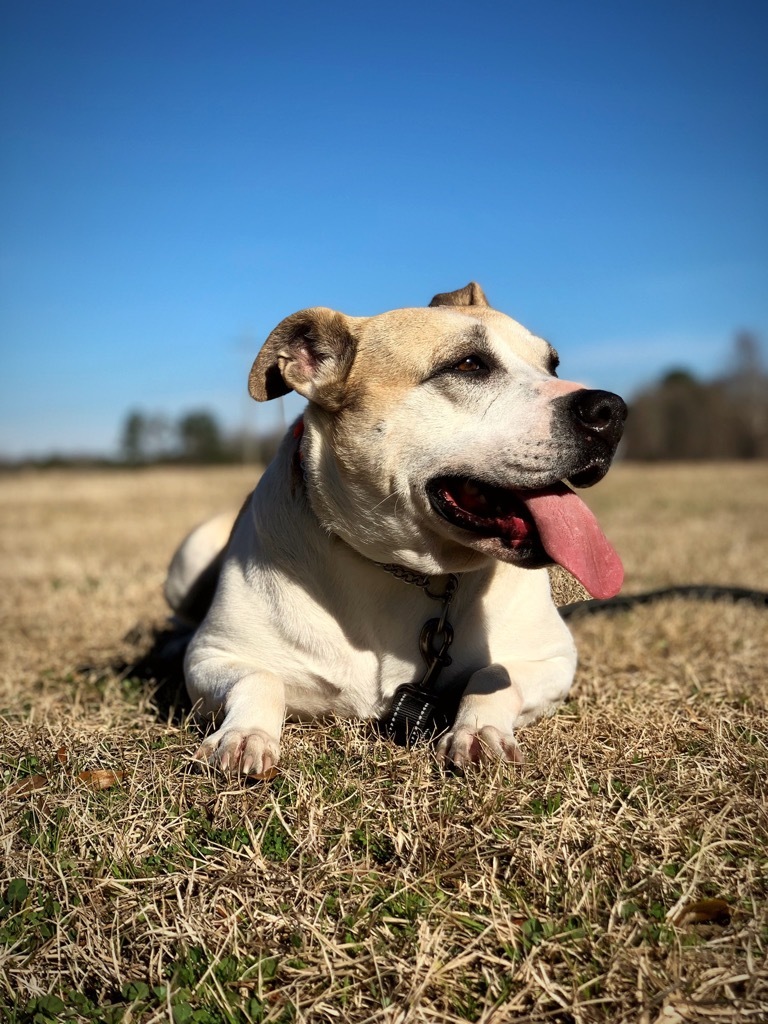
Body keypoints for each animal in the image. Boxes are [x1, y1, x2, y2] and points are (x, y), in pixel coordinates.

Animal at [165, 284, 626, 770]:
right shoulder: (214, 654)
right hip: (192, 550)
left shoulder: (553, 658)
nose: (612, 409)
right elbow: (258, 678)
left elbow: (491, 676)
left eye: (552, 364)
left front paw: (478, 731)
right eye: (468, 365)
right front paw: (246, 735)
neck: (409, 570)